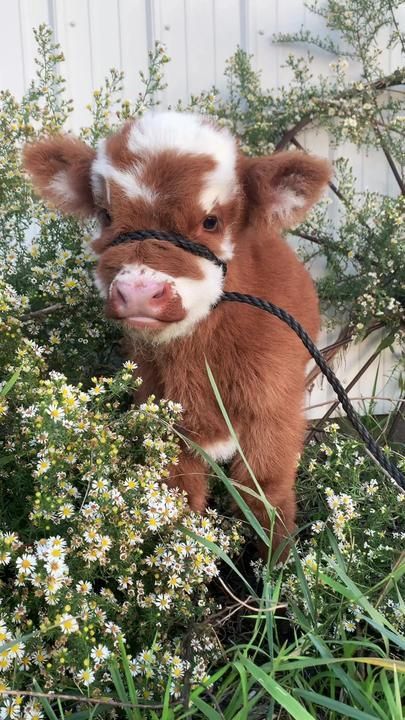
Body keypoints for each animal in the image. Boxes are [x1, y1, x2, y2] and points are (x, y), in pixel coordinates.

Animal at [23, 112, 330, 552]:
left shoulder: (274, 414)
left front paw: (278, 564)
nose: (138, 291)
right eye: (106, 215)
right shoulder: (167, 421)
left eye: (211, 221)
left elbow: (265, 496)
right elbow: (181, 501)